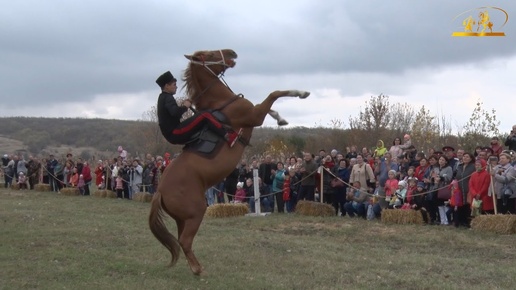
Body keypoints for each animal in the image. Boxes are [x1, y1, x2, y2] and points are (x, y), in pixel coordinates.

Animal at [149, 48, 310, 276]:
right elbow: (274, 93)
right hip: (196, 212)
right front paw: (301, 93)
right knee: (185, 241)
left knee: (182, 240)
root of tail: (160, 191)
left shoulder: (255, 112)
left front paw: (280, 118)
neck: (220, 102)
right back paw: (198, 270)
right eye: (208, 54)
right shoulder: (255, 115)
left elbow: (269, 103)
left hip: (183, 218)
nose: (231, 52)